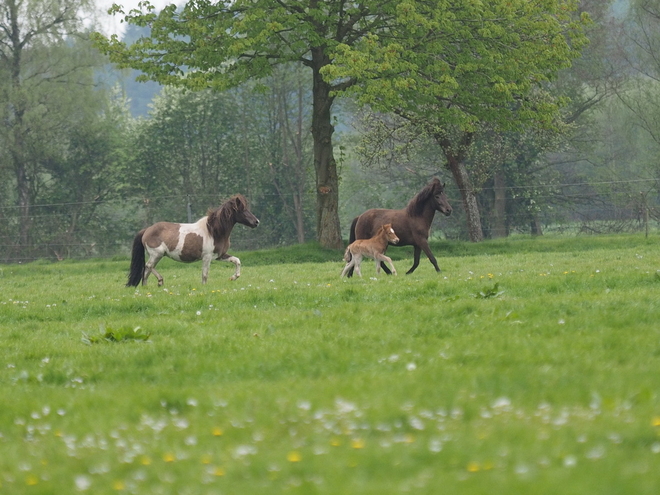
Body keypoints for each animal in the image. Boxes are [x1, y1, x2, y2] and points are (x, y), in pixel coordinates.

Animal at [125, 194, 260, 286]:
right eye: (243, 210)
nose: (256, 222)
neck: (213, 232)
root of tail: (146, 230)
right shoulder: (207, 257)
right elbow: (205, 275)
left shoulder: (220, 256)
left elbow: (237, 261)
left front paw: (233, 277)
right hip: (156, 254)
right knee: (148, 266)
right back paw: (160, 281)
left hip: (157, 256)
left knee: (146, 271)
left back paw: (147, 287)